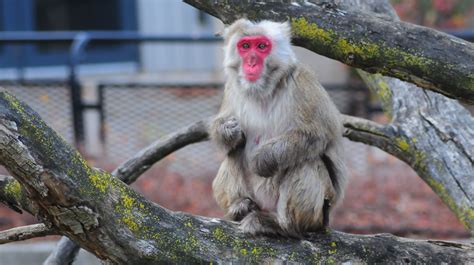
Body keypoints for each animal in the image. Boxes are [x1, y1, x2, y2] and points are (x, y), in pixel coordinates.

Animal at [212, 19, 348, 237]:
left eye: (261, 46)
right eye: (245, 46)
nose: (251, 62)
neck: (264, 89)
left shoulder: (302, 82)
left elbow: (316, 135)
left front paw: (263, 159)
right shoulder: (231, 87)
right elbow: (228, 135)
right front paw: (227, 131)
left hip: (320, 214)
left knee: (306, 161)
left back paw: (280, 224)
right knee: (235, 151)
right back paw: (240, 207)